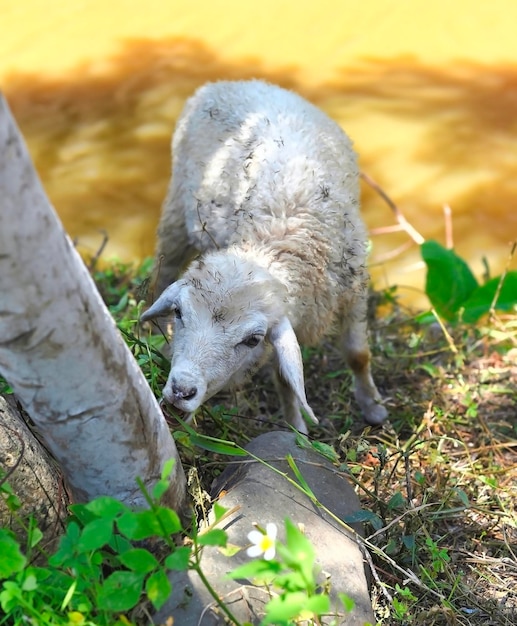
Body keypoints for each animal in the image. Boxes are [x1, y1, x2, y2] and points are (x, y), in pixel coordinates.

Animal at [141, 79, 388, 434]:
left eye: (252, 339)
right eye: (179, 312)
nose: (181, 390)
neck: (279, 235)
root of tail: (232, 82)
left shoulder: (353, 289)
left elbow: (357, 354)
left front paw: (373, 407)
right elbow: (285, 380)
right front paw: (297, 430)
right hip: (176, 209)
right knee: (162, 272)